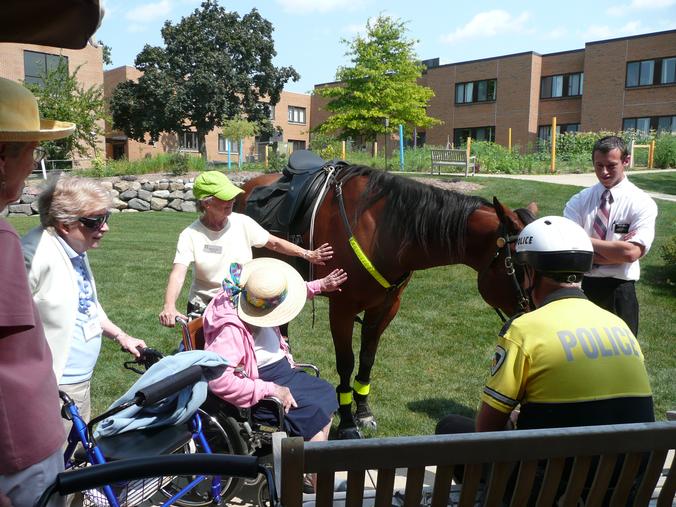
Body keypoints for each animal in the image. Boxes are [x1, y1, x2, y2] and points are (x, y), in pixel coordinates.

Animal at [235, 161, 536, 438]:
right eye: (521, 266)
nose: (536, 312)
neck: (384, 231)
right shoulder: (342, 309)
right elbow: (346, 363)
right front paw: (347, 422)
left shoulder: (386, 306)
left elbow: (367, 359)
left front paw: (363, 412)